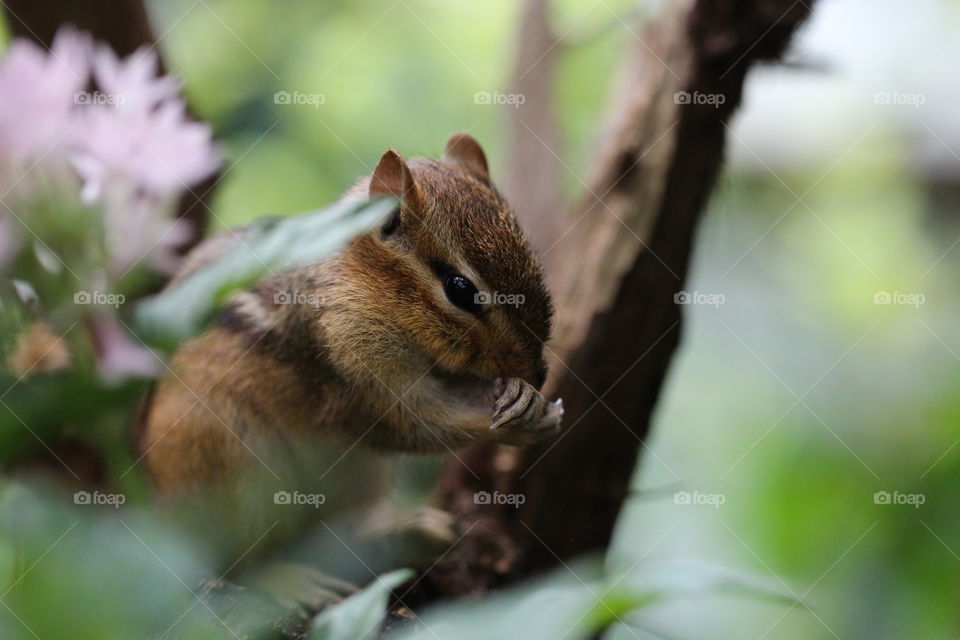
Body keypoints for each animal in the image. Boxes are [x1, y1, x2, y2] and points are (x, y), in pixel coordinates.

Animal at [138, 133, 562, 585]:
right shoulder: (347, 357)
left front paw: (525, 397)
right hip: (226, 459)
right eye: (460, 289)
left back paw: (406, 530)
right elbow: (412, 422)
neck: (357, 279)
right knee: (236, 563)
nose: (538, 372)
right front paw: (521, 421)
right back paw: (288, 581)